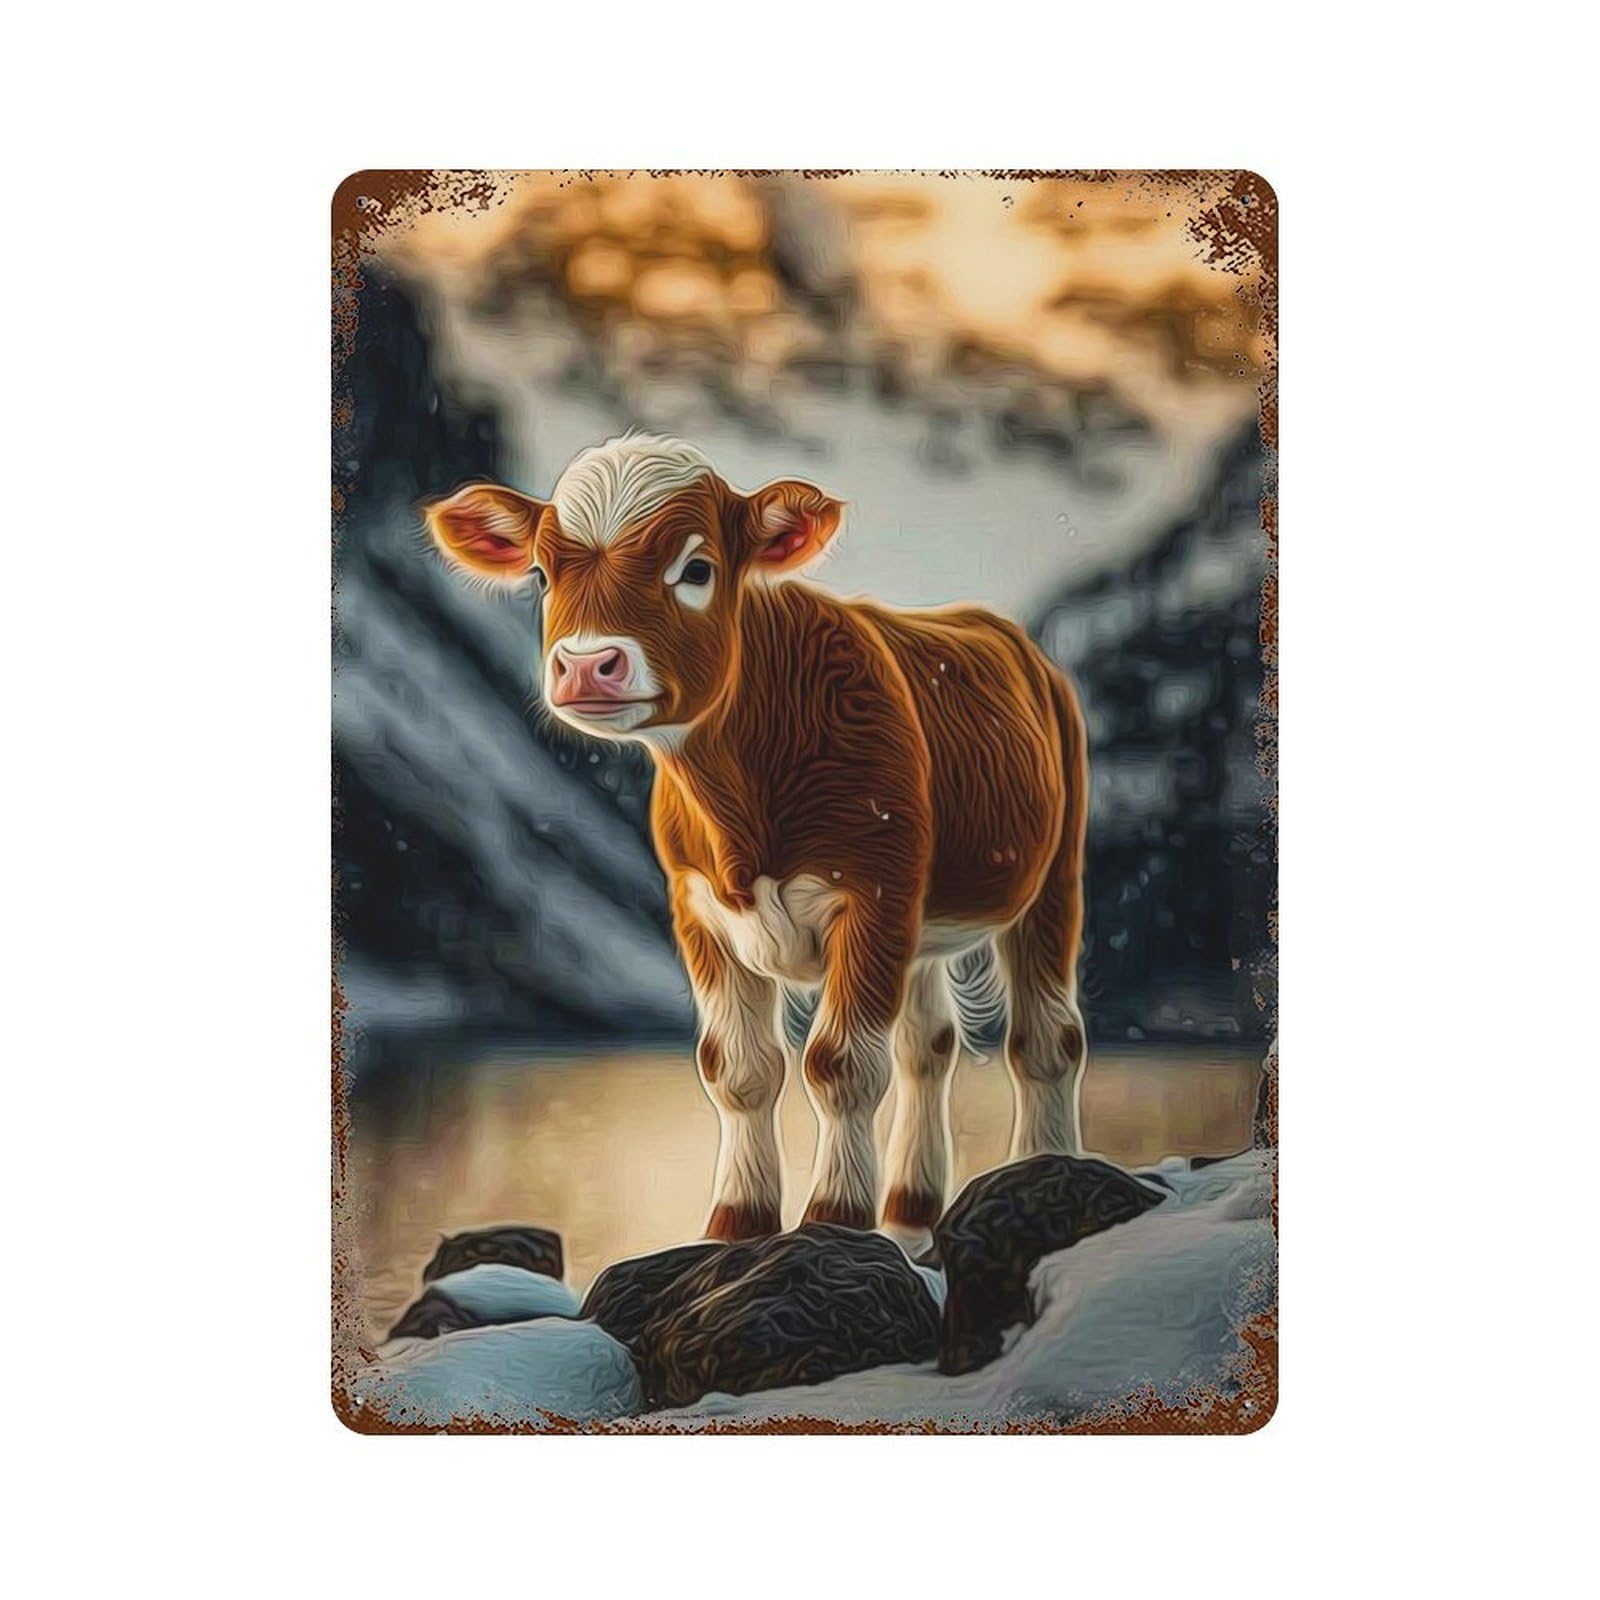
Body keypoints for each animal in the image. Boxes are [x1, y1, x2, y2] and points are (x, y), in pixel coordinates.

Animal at [426, 433, 1090, 1253]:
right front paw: (737, 1222)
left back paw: (1042, 1173)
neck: (741, 810)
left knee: (1045, 1039)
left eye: (697, 569)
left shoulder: (871, 897)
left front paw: (835, 1215)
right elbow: (737, 1070)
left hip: (1050, 879)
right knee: (927, 1046)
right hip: (924, 916)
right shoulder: (699, 911)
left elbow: (841, 1065)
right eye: (544, 575)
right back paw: (910, 1210)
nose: (586, 665)